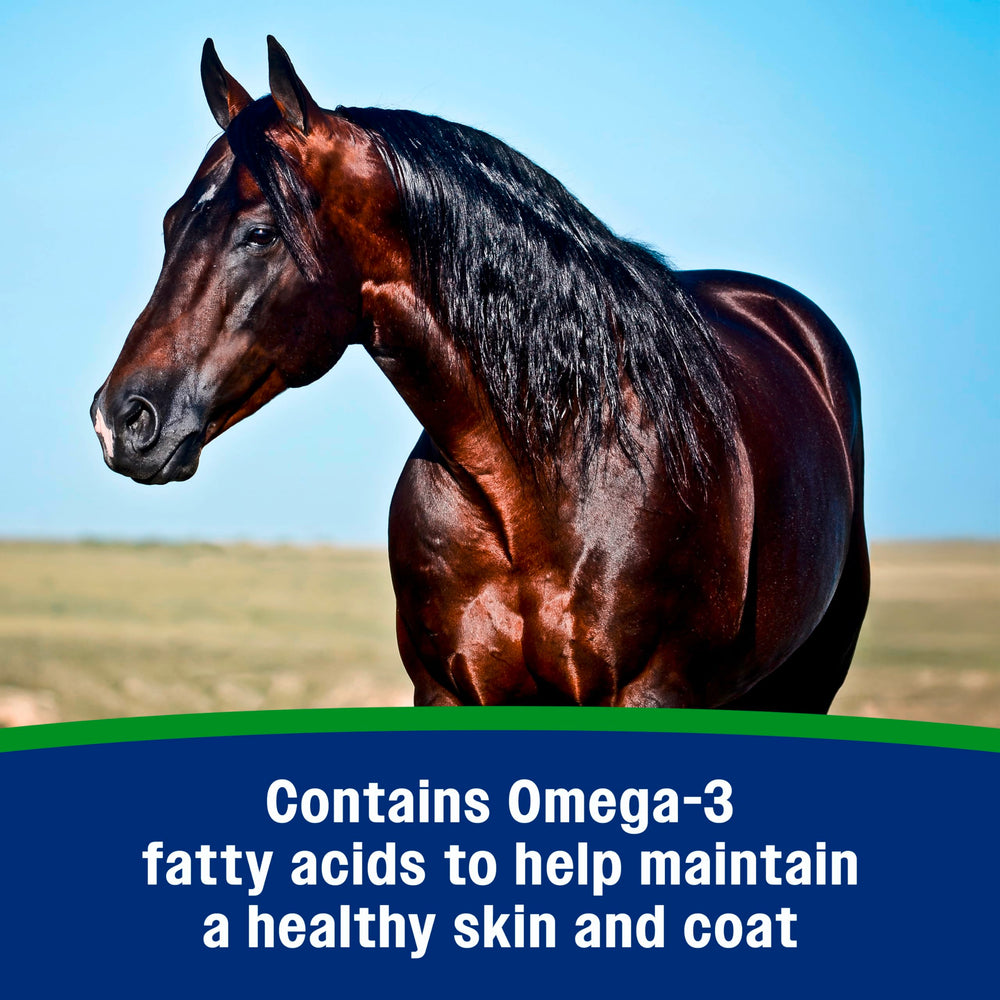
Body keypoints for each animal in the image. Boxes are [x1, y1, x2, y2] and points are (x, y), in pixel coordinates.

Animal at [91, 37, 869, 711]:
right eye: (171, 224)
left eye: (260, 233)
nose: (122, 419)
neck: (546, 474)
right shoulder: (450, 690)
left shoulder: (649, 692)